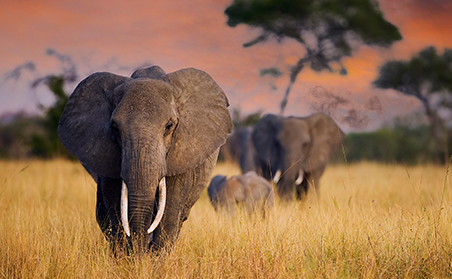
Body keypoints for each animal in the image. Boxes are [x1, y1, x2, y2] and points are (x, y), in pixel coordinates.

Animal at [57, 65, 233, 254]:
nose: (141, 254)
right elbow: (115, 206)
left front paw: (153, 261)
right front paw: (128, 259)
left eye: (169, 126)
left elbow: (170, 212)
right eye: (114, 127)